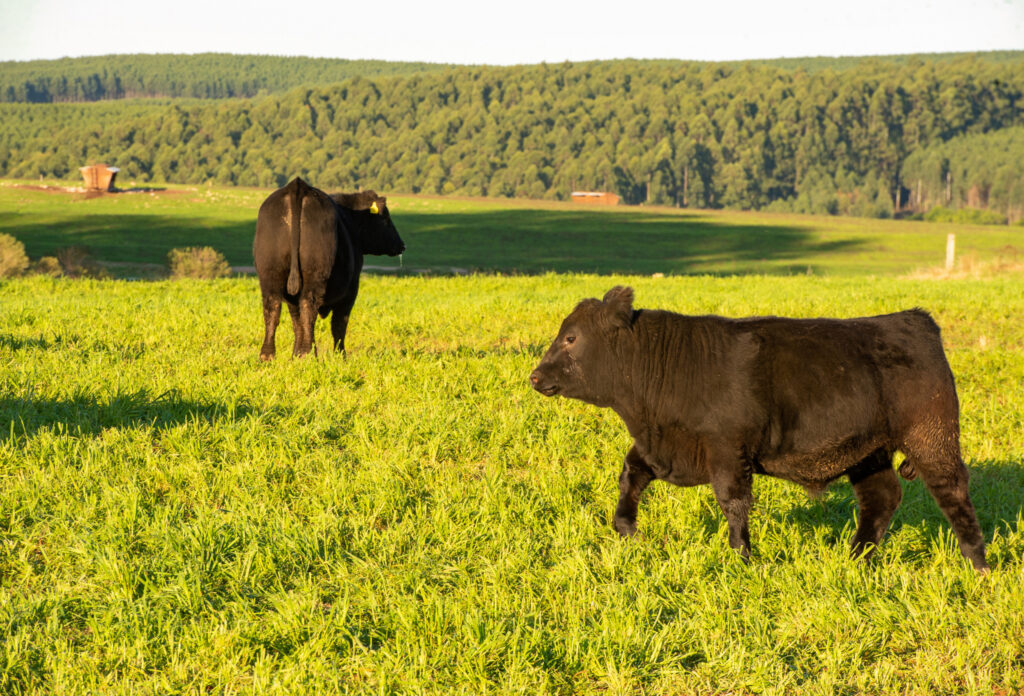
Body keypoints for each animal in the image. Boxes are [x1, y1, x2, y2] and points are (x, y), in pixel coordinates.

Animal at [251, 177, 403, 358]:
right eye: (386, 218)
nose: (401, 245)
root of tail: (298, 186)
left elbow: (297, 322)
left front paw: (295, 354)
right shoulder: (351, 290)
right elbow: (339, 324)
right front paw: (340, 355)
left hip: (270, 275)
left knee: (272, 307)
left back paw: (268, 355)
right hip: (315, 275)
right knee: (309, 307)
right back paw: (308, 353)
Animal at [528, 286, 983, 569]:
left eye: (571, 338)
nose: (534, 376)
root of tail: (913, 320)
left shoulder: (728, 450)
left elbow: (733, 501)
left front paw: (741, 557)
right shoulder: (664, 447)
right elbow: (631, 474)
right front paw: (626, 529)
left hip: (932, 438)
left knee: (953, 491)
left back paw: (977, 564)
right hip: (870, 452)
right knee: (882, 498)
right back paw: (856, 560)